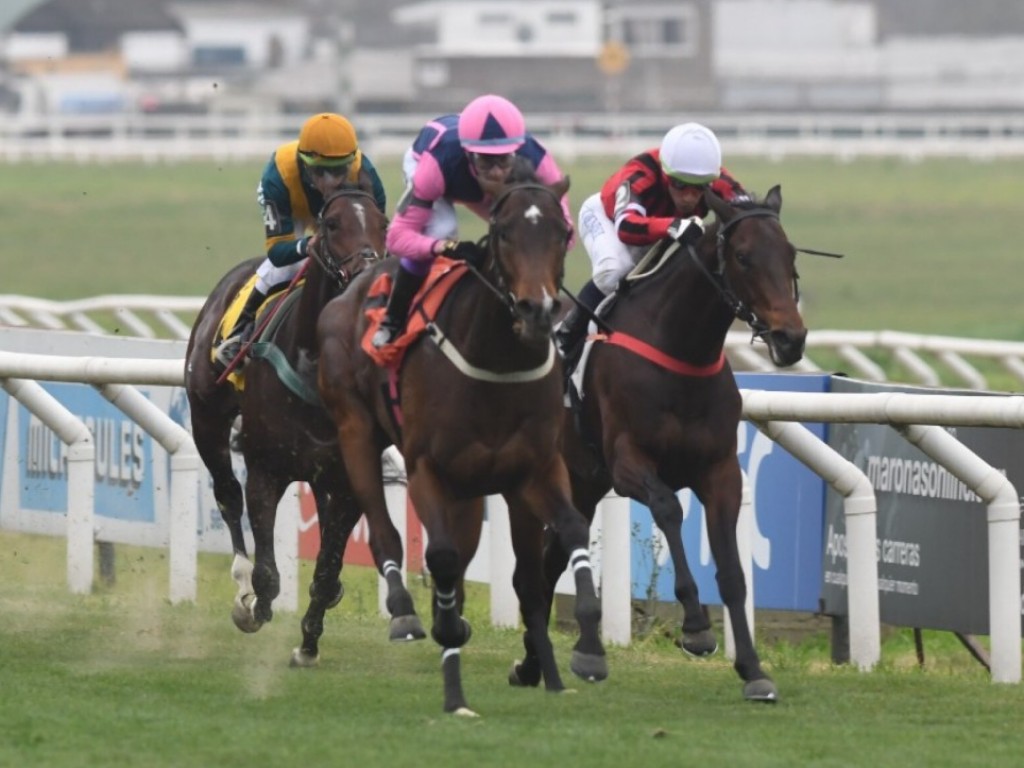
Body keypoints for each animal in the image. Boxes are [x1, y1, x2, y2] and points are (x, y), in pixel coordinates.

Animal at [184, 188, 423, 667]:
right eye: (331, 224)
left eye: (384, 223)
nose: (366, 274)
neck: (312, 362)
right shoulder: (265, 471)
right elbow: (268, 573)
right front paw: (255, 605)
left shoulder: (349, 480)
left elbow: (327, 570)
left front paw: (309, 643)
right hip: (206, 418)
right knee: (227, 495)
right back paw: (241, 586)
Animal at [317, 171, 606, 720]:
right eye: (504, 233)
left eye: (562, 233)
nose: (538, 310)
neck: (495, 361)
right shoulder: (427, 469)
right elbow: (444, 559)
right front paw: (454, 689)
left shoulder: (535, 470)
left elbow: (563, 543)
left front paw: (583, 654)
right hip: (356, 431)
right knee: (386, 533)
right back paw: (405, 613)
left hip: (478, 490)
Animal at [520, 185, 806, 704]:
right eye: (743, 256)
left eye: (790, 253)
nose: (790, 338)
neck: (682, 351)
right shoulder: (628, 462)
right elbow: (669, 509)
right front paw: (695, 626)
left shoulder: (720, 473)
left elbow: (732, 572)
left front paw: (753, 669)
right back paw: (583, 653)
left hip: (584, 482)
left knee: (554, 556)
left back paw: (538, 661)